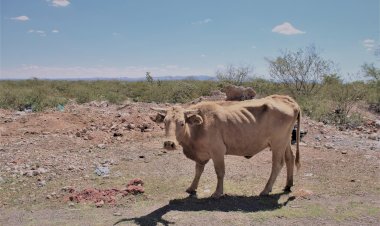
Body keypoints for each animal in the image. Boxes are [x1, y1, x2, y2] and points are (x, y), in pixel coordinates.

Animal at [151, 95, 300, 198]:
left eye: (182, 123)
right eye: (165, 122)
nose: (169, 143)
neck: (198, 128)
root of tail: (286, 99)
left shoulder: (217, 151)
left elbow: (220, 172)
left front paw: (218, 192)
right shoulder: (201, 154)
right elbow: (198, 171)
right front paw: (192, 187)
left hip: (277, 143)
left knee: (277, 164)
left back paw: (266, 190)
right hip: (285, 141)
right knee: (290, 158)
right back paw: (288, 185)